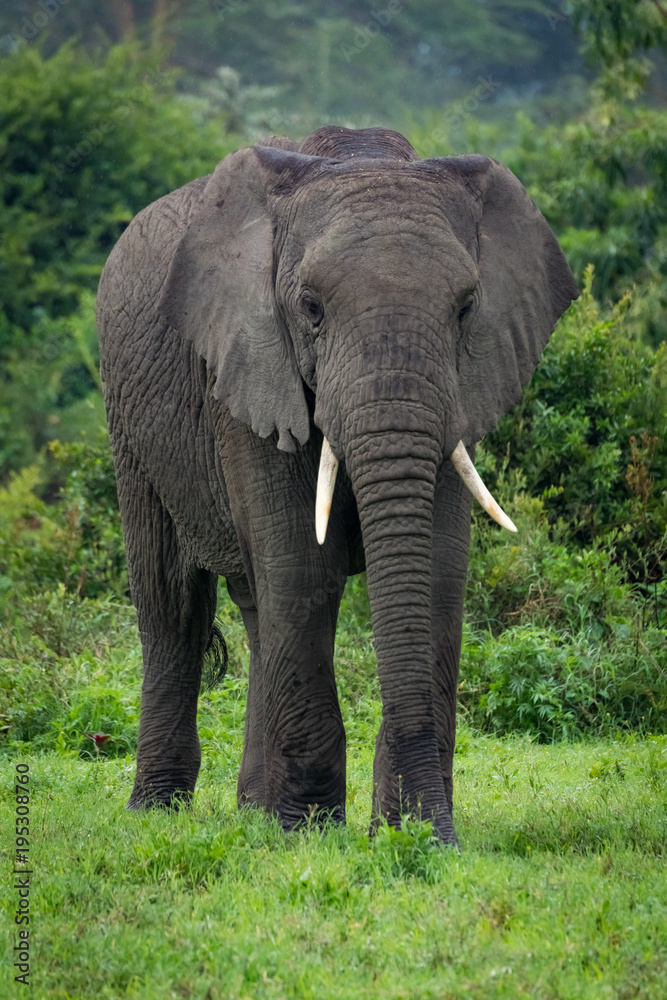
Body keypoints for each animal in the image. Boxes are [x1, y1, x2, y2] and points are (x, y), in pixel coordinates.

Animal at [98, 125, 580, 844]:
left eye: (466, 308)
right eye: (311, 308)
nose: (431, 832)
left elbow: (434, 573)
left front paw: (409, 836)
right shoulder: (249, 365)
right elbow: (303, 568)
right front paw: (309, 834)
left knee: (255, 608)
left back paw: (252, 813)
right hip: (128, 418)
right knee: (172, 602)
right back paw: (157, 812)